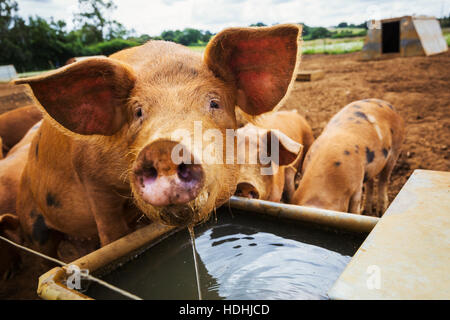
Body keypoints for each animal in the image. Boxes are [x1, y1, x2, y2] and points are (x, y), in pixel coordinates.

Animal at [13, 25, 302, 260]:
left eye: (214, 103)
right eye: (138, 112)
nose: (164, 148)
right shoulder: (92, 181)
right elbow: (112, 237)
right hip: (32, 221)